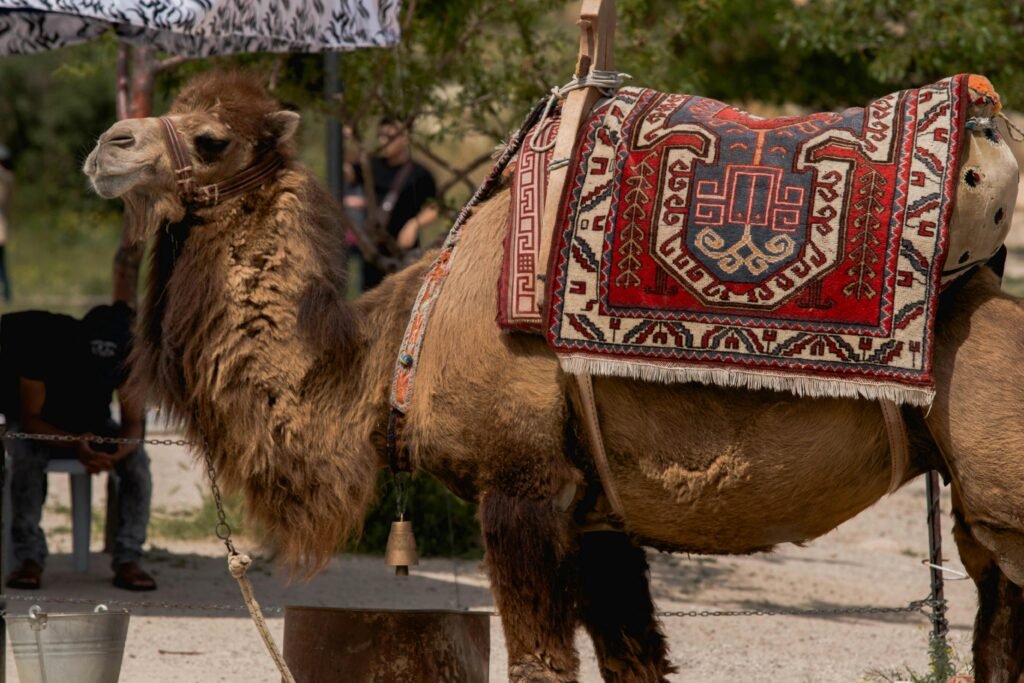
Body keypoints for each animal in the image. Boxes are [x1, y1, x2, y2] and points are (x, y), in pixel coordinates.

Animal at [84, 71, 1024, 682]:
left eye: (209, 138)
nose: (106, 145)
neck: (396, 350)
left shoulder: (523, 484)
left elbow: (541, 665)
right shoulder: (600, 514)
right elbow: (635, 662)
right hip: (982, 523)